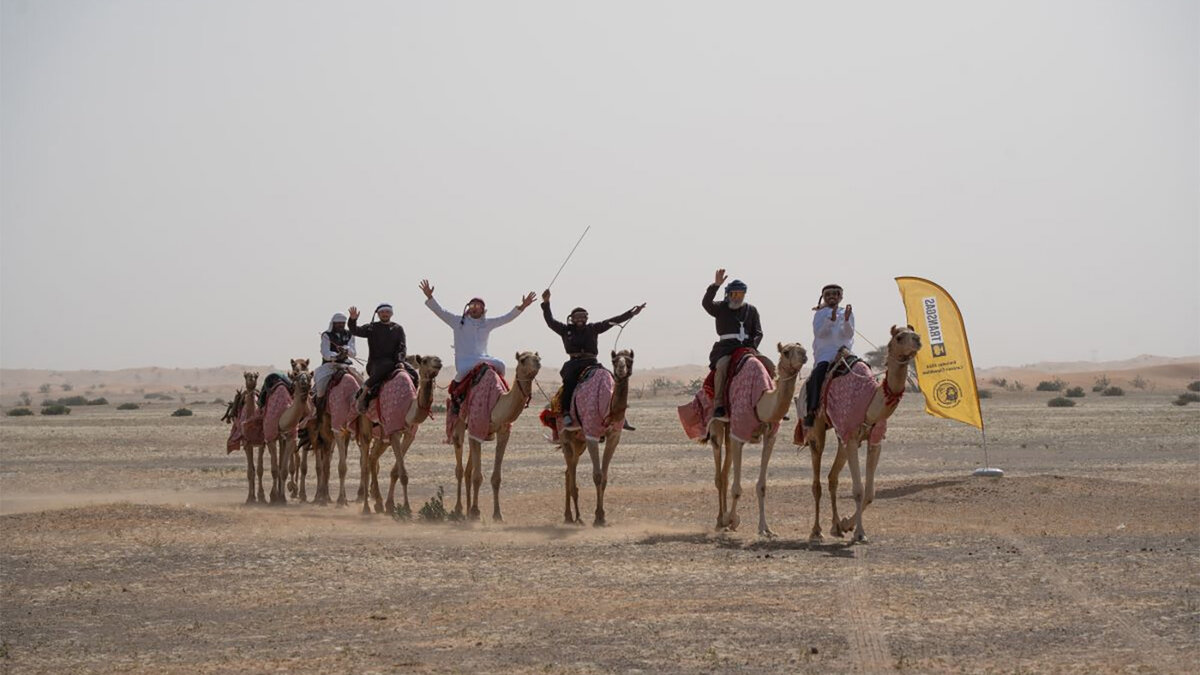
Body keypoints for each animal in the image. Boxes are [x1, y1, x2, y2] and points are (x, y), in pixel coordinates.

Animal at [361, 354, 444, 515]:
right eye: (425, 360)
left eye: (436, 358)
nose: (439, 361)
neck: (408, 410)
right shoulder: (394, 432)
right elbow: (403, 474)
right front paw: (406, 508)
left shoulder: (409, 434)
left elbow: (396, 472)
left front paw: (390, 505)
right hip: (367, 428)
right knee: (366, 463)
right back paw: (366, 507)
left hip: (382, 437)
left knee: (372, 459)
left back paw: (378, 503)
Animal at [451, 351, 541, 521]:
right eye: (523, 359)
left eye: (537, 356)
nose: (538, 362)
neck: (496, 406)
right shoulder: (476, 425)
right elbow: (478, 477)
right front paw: (476, 512)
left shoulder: (503, 432)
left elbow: (496, 478)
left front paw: (497, 514)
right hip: (458, 426)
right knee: (460, 467)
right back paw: (459, 509)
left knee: (468, 471)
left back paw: (467, 509)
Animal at [560, 349, 634, 526]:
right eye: (615, 360)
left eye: (630, 360)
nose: (621, 368)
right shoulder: (591, 434)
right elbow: (597, 475)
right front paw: (598, 517)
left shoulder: (614, 436)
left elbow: (605, 477)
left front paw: (602, 516)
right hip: (567, 440)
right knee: (571, 474)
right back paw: (576, 517)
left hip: (579, 443)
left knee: (568, 473)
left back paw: (569, 516)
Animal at [709, 343, 808, 537]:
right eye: (786, 352)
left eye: (802, 348)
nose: (804, 355)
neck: (760, 401)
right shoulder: (740, 434)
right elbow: (736, 489)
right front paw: (731, 520)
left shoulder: (770, 437)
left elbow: (761, 486)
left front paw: (765, 528)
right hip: (718, 426)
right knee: (718, 474)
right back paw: (720, 520)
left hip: (730, 433)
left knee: (724, 472)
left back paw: (723, 519)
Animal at [803, 325, 921, 542]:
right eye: (900, 337)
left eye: (914, 333)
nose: (917, 340)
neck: (870, 404)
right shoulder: (851, 438)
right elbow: (858, 490)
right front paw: (859, 533)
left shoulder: (874, 440)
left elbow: (870, 492)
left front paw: (846, 524)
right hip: (817, 429)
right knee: (817, 481)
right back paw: (816, 531)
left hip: (841, 438)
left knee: (832, 477)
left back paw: (836, 527)